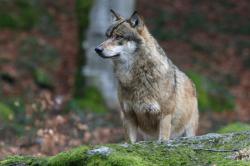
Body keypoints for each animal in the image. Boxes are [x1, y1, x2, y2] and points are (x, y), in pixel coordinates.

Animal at [94, 10, 198, 143]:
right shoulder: (128, 116)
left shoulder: (165, 116)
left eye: (118, 36)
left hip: (189, 132)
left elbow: (163, 139)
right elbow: (130, 142)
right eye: (107, 36)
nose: (97, 49)